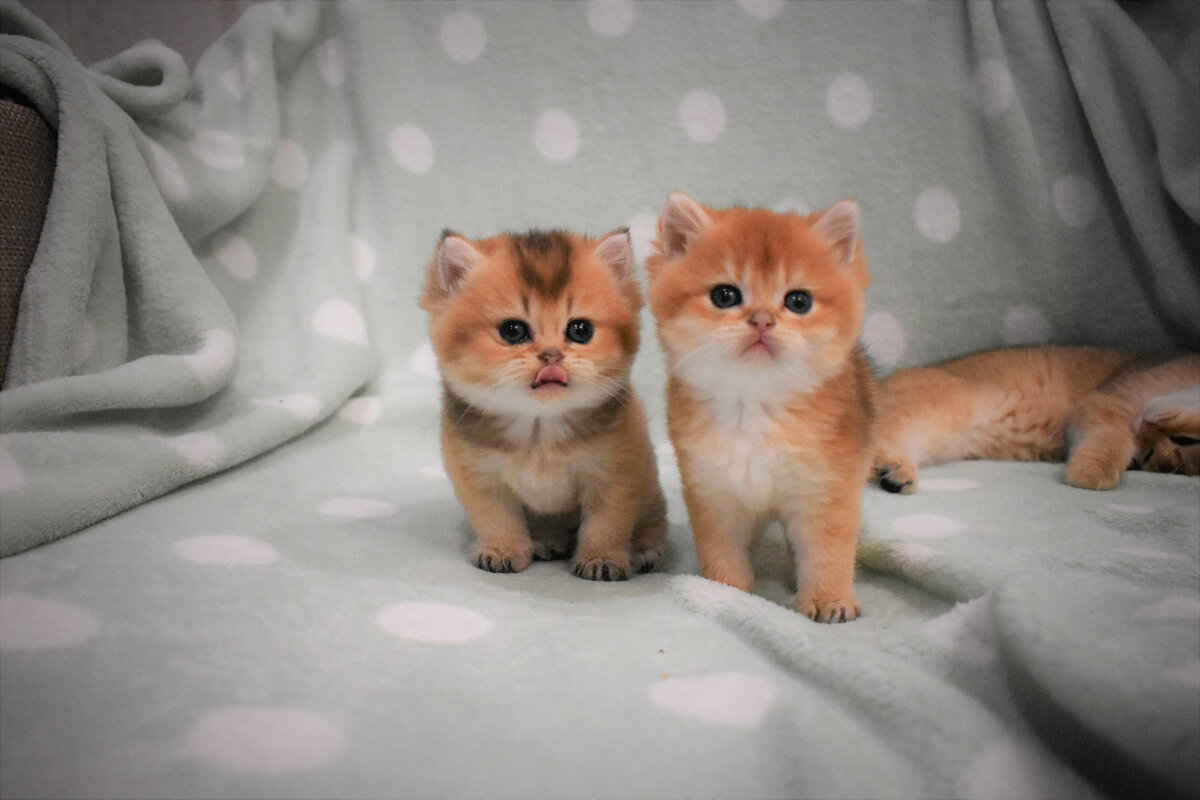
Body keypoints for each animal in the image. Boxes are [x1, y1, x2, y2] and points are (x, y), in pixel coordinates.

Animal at [420, 227, 667, 578]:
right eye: (512, 330)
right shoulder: (480, 479)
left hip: (651, 493)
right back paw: (548, 540)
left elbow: (606, 524)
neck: (539, 429)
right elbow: (497, 519)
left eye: (580, 329)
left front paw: (602, 560)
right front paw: (502, 551)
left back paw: (646, 550)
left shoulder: (615, 476)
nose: (552, 355)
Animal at [648, 194, 883, 623]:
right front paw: (726, 591)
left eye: (798, 301)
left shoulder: (827, 492)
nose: (761, 320)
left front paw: (828, 599)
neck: (755, 408)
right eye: (725, 295)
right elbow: (722, 550)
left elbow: (828, 553)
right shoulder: (716, 495)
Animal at [873, 345, 1200, 491]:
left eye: (1150, 457)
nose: (1146, 450)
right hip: (938, 410)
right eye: (1186, 439)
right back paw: (896, 469)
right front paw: (1092, 474)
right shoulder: (1106, 402)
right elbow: (1109, 439)